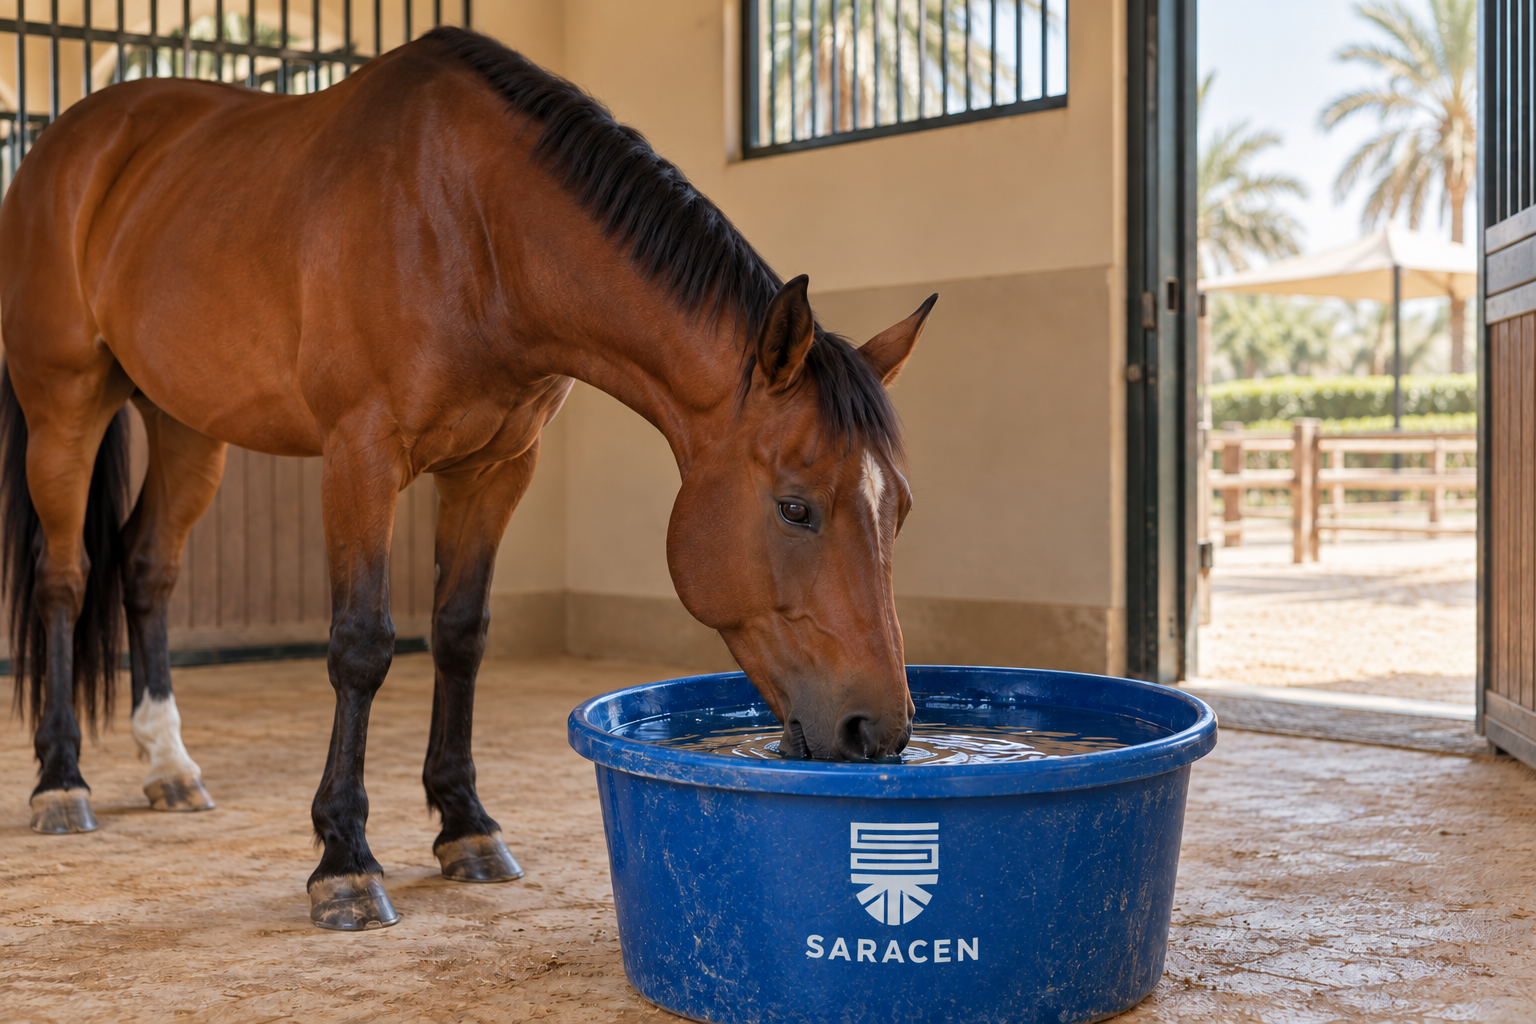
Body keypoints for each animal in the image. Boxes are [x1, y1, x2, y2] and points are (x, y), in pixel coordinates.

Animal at [0, 27, 935, 930]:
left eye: (900, 511)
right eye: (795, 509)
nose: (878, 731)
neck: (474, 227)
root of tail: (71, 144)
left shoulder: (496, 468)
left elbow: (460, 634)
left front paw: (465, 826)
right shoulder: (362, 455)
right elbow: (362, 645)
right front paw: (345, 862)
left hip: (188, 425)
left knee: (147, 567)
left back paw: (168, 765)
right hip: (66, 408)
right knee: (65, 576)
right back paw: (61, 781)